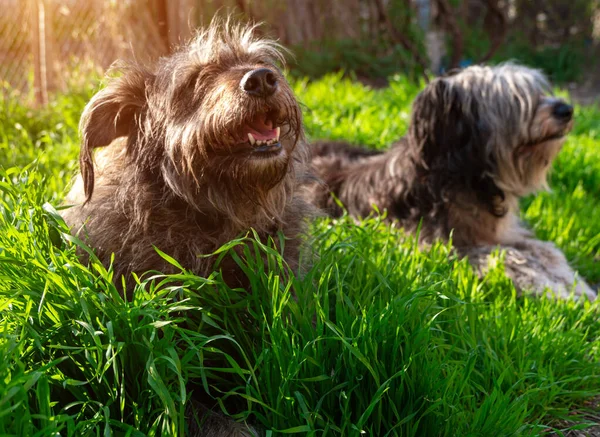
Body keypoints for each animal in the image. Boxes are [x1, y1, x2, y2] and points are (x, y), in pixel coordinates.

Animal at [63, 17, 316, 436]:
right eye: (198, 79)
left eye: (261, 61)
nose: (262, 79)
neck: (212, 223)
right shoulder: (149, 361)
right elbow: (188, 406)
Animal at [310, 63, 596, 300]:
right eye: (515, 100)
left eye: (539, 89)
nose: (566, 109)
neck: (466, 176)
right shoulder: (438, 246)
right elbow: (508, 256)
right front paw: (555, 290)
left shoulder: (506, 232)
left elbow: (547, 250)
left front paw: (578, 286)